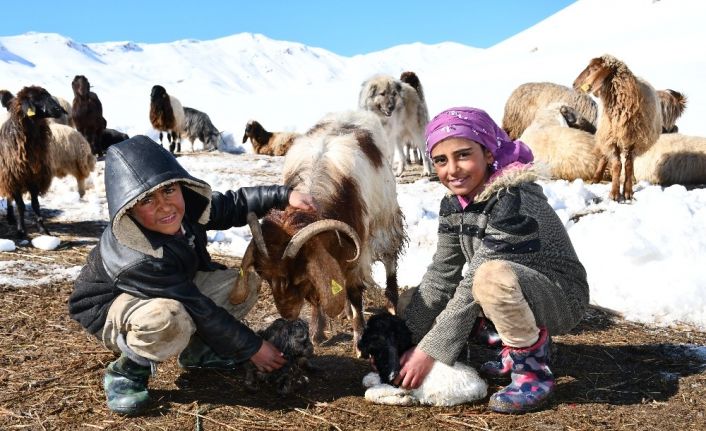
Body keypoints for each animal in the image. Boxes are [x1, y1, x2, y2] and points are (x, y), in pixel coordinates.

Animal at [0, 86, 64, 238]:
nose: (59, 109)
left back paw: (11, 218)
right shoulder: (15, 178)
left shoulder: (35, 178)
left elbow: (36, 204)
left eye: (47, 95)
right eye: (35, 99)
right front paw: (21, 230)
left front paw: (43, 229)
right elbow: (21, 206)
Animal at [231, 109, 408, 356]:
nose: (287, 314)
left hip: (386, 217)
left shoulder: (357, 255)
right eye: (265, 277)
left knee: (390, 259)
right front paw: (317, 331)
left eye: (296, 278)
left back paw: (391, 304)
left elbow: (355, 293)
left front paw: (359, 342)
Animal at [572, 54, 660, 202]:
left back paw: (633, 179)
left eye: (594, 68)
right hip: (605, 133)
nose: (574, 84)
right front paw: (614, 193)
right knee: (604, 157)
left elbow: (629, 165)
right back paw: (596, 178)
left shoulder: (634, 140)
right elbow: (617, 165)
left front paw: (628, 192)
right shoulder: (611, 139)